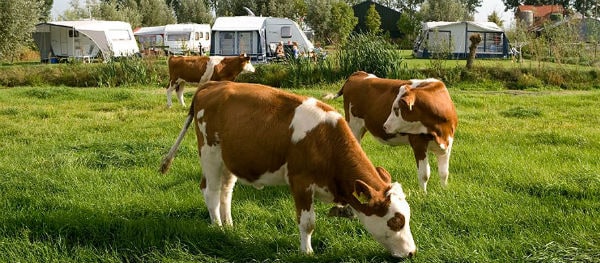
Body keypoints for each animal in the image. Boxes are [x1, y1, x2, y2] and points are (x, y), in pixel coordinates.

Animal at [159, 81, 418, 258]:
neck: (325, 139)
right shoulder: (301, 182)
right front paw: (307, 252)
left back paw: (230, 225)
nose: (412, 253)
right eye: (396, 221)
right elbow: (308, 223)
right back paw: (218, 228)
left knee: (225, 191)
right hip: (210, 153)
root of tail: (213, 84)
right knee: (210, 191)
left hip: (229, 159)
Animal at [326, 71, 458, 193]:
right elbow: (424, 174)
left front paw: (444, 190)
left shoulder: (448, 142)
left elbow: (444, 172)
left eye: (396, 109)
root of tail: (359, 73)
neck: (439, 132)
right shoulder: (418, 143)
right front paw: (423, 195)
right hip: (353, 125)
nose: (384, 126)